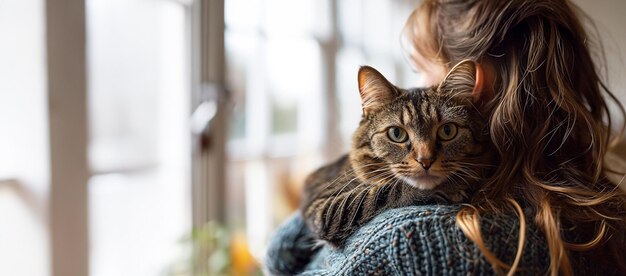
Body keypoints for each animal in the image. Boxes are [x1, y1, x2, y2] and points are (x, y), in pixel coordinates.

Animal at [300, 59, 494, 246]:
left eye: (447, 131)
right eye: (396, 133)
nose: (425, 160)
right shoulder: (323, 207)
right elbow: (383, 192)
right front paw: (452, 186)